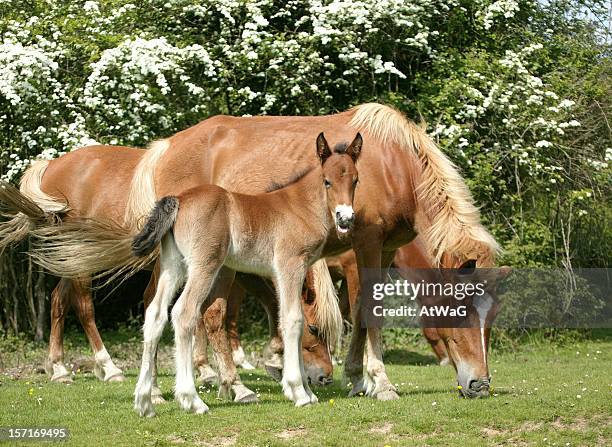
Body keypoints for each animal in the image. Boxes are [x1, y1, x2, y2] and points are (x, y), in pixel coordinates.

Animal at [2, 102, 500, 402]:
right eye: (458, 314)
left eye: (490, 319)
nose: (479, 383)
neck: (393, 164)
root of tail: (163, 148)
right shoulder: (364, 245)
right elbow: (364, 311)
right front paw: (375, 381)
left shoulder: (376, 250)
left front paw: (352, 376)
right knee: (126, 306)